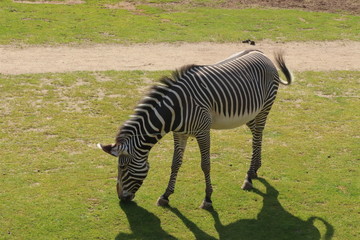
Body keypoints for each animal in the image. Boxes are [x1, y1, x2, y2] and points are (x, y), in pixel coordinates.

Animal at [97, 49, 292, 209]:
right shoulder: (179, 133)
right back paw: (255, 169)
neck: (175, 110)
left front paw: (207, 199)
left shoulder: (203, 132)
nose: (121, 199)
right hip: (251, 114)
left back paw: (249, 177)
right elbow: (175, 163)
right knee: (256, 136)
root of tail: (262, 54)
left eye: (123, 167)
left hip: (265, 107)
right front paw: (165, 196)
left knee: (258, 136)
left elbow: (205, 165)